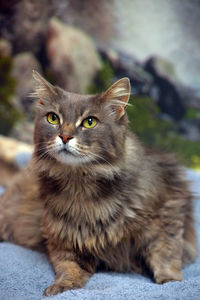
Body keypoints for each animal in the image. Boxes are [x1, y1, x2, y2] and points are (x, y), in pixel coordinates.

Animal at [0, 71, 198, 296]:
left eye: (89, 122)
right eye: (53, 118)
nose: (64, 136)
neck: (81, 183)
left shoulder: (168, 213)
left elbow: (165, 255)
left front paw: (171, 282)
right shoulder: (63, 237)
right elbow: (69, 268)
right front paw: (61, 287)